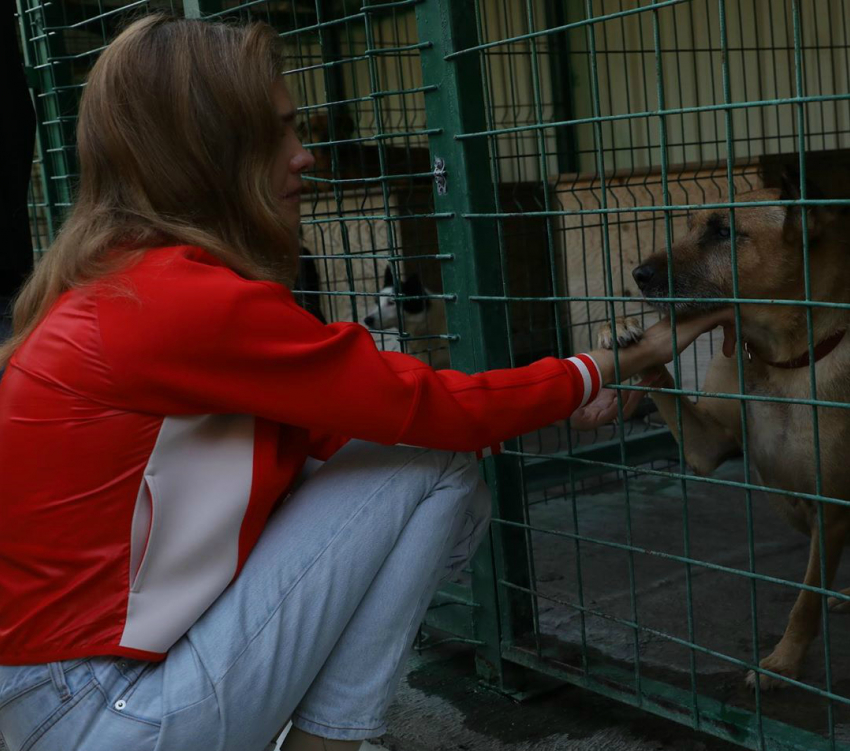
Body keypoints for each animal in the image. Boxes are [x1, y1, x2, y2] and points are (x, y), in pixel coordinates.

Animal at [596, 175, 848, 688]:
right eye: (691, 225)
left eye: (724, 232)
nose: (638, 274)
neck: (783, 360)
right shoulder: (707, 447)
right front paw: (619, 329)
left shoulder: (829, 510)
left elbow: (804, 601)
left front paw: (784, 663)